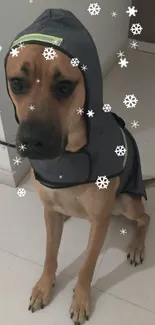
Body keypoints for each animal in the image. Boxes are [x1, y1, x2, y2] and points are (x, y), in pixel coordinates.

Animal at [5, 8, 150, 322]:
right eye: (16, 83)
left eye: (64, 87)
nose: (31, 142)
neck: (69, 156)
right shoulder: (48, 211)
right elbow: (50, 254)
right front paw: (44, 286)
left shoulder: (99, 221)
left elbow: (87, 265)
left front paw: (81, 298)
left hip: (126, 203)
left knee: (145, 218)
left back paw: (136, 245)